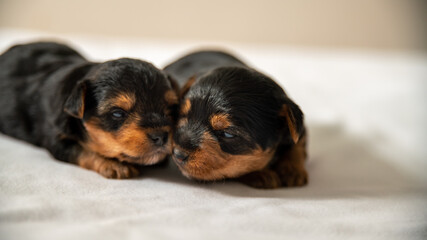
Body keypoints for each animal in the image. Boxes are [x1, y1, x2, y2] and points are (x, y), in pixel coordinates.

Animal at [0, 41, 177, 178]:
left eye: (170, 108)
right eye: (117, 113)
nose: (161, 136)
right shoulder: (57, 138)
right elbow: (84, 151)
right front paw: (115, 165)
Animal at [164, 51, 308, 189]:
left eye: (228, 134)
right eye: (182, 116)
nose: (177, 154)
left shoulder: (300, 129)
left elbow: (297, 145)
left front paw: (292, 171)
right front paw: (261, 174)